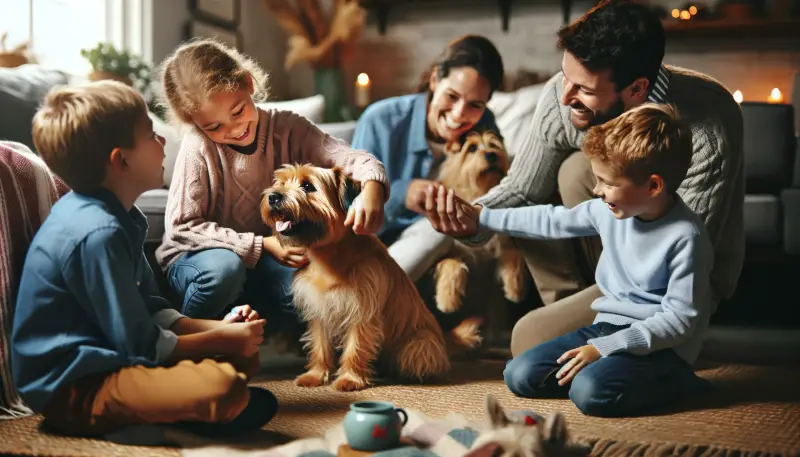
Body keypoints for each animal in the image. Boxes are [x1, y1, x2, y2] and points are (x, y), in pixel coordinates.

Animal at [260, 164, 482, 392]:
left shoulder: (361, 312)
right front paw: (315, 375)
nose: (273, 197)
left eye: (307, 186)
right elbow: (320, 346)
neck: (328, 255)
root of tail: (443, 342)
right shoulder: (319, 310)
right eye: (281, 183)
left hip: (418, 344)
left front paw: (349, 379)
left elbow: (355, 348)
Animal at [434, 127, 528, 314]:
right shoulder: (453, 250)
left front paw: (515, 289)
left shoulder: (506, 242)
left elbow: (514, 254)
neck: (481, 190)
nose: (491, 155)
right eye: (472, 148)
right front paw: (447, 300)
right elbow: (451, 263)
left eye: (493, 145)